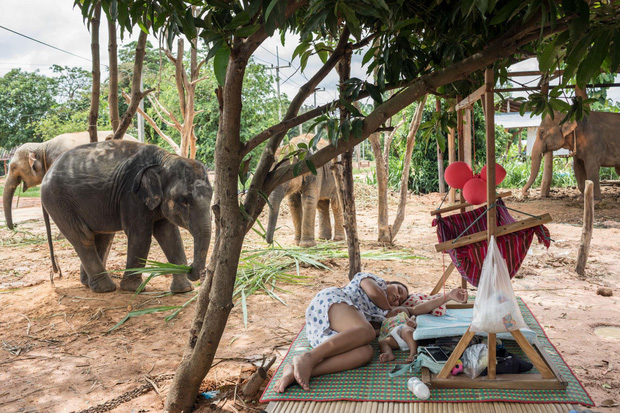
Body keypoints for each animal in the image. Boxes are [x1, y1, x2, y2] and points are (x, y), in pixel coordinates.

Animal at [41, 139, 212, 292]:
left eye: (212, 194)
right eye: (184, 200)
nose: (190, 268)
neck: (164, 159)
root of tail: (46, 174)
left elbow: (170, 235)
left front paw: (184, 289)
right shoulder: (131, 195)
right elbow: (140, 235)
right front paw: (133, 289)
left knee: (102, 236)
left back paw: (88, 284)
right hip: (59, 203)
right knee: (83, 238)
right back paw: (106, 289)